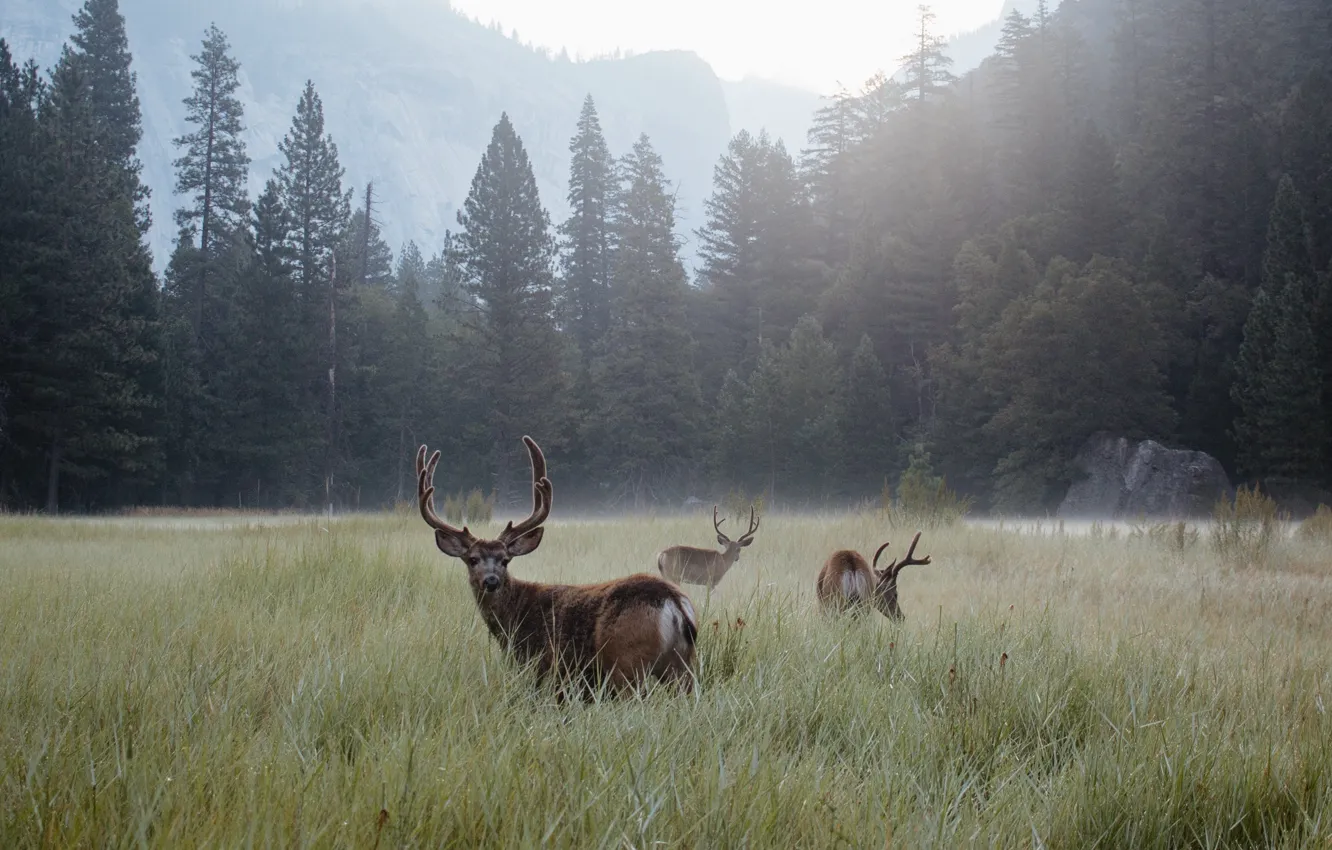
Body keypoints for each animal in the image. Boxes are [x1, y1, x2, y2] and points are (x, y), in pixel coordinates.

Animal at [415, 435, 698, 702]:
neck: (513, 618)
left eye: (505, 560)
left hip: (627, 661)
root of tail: (674, 602)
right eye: (472, 559)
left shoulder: (543, 667)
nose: (491, 581)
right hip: (681, 666)